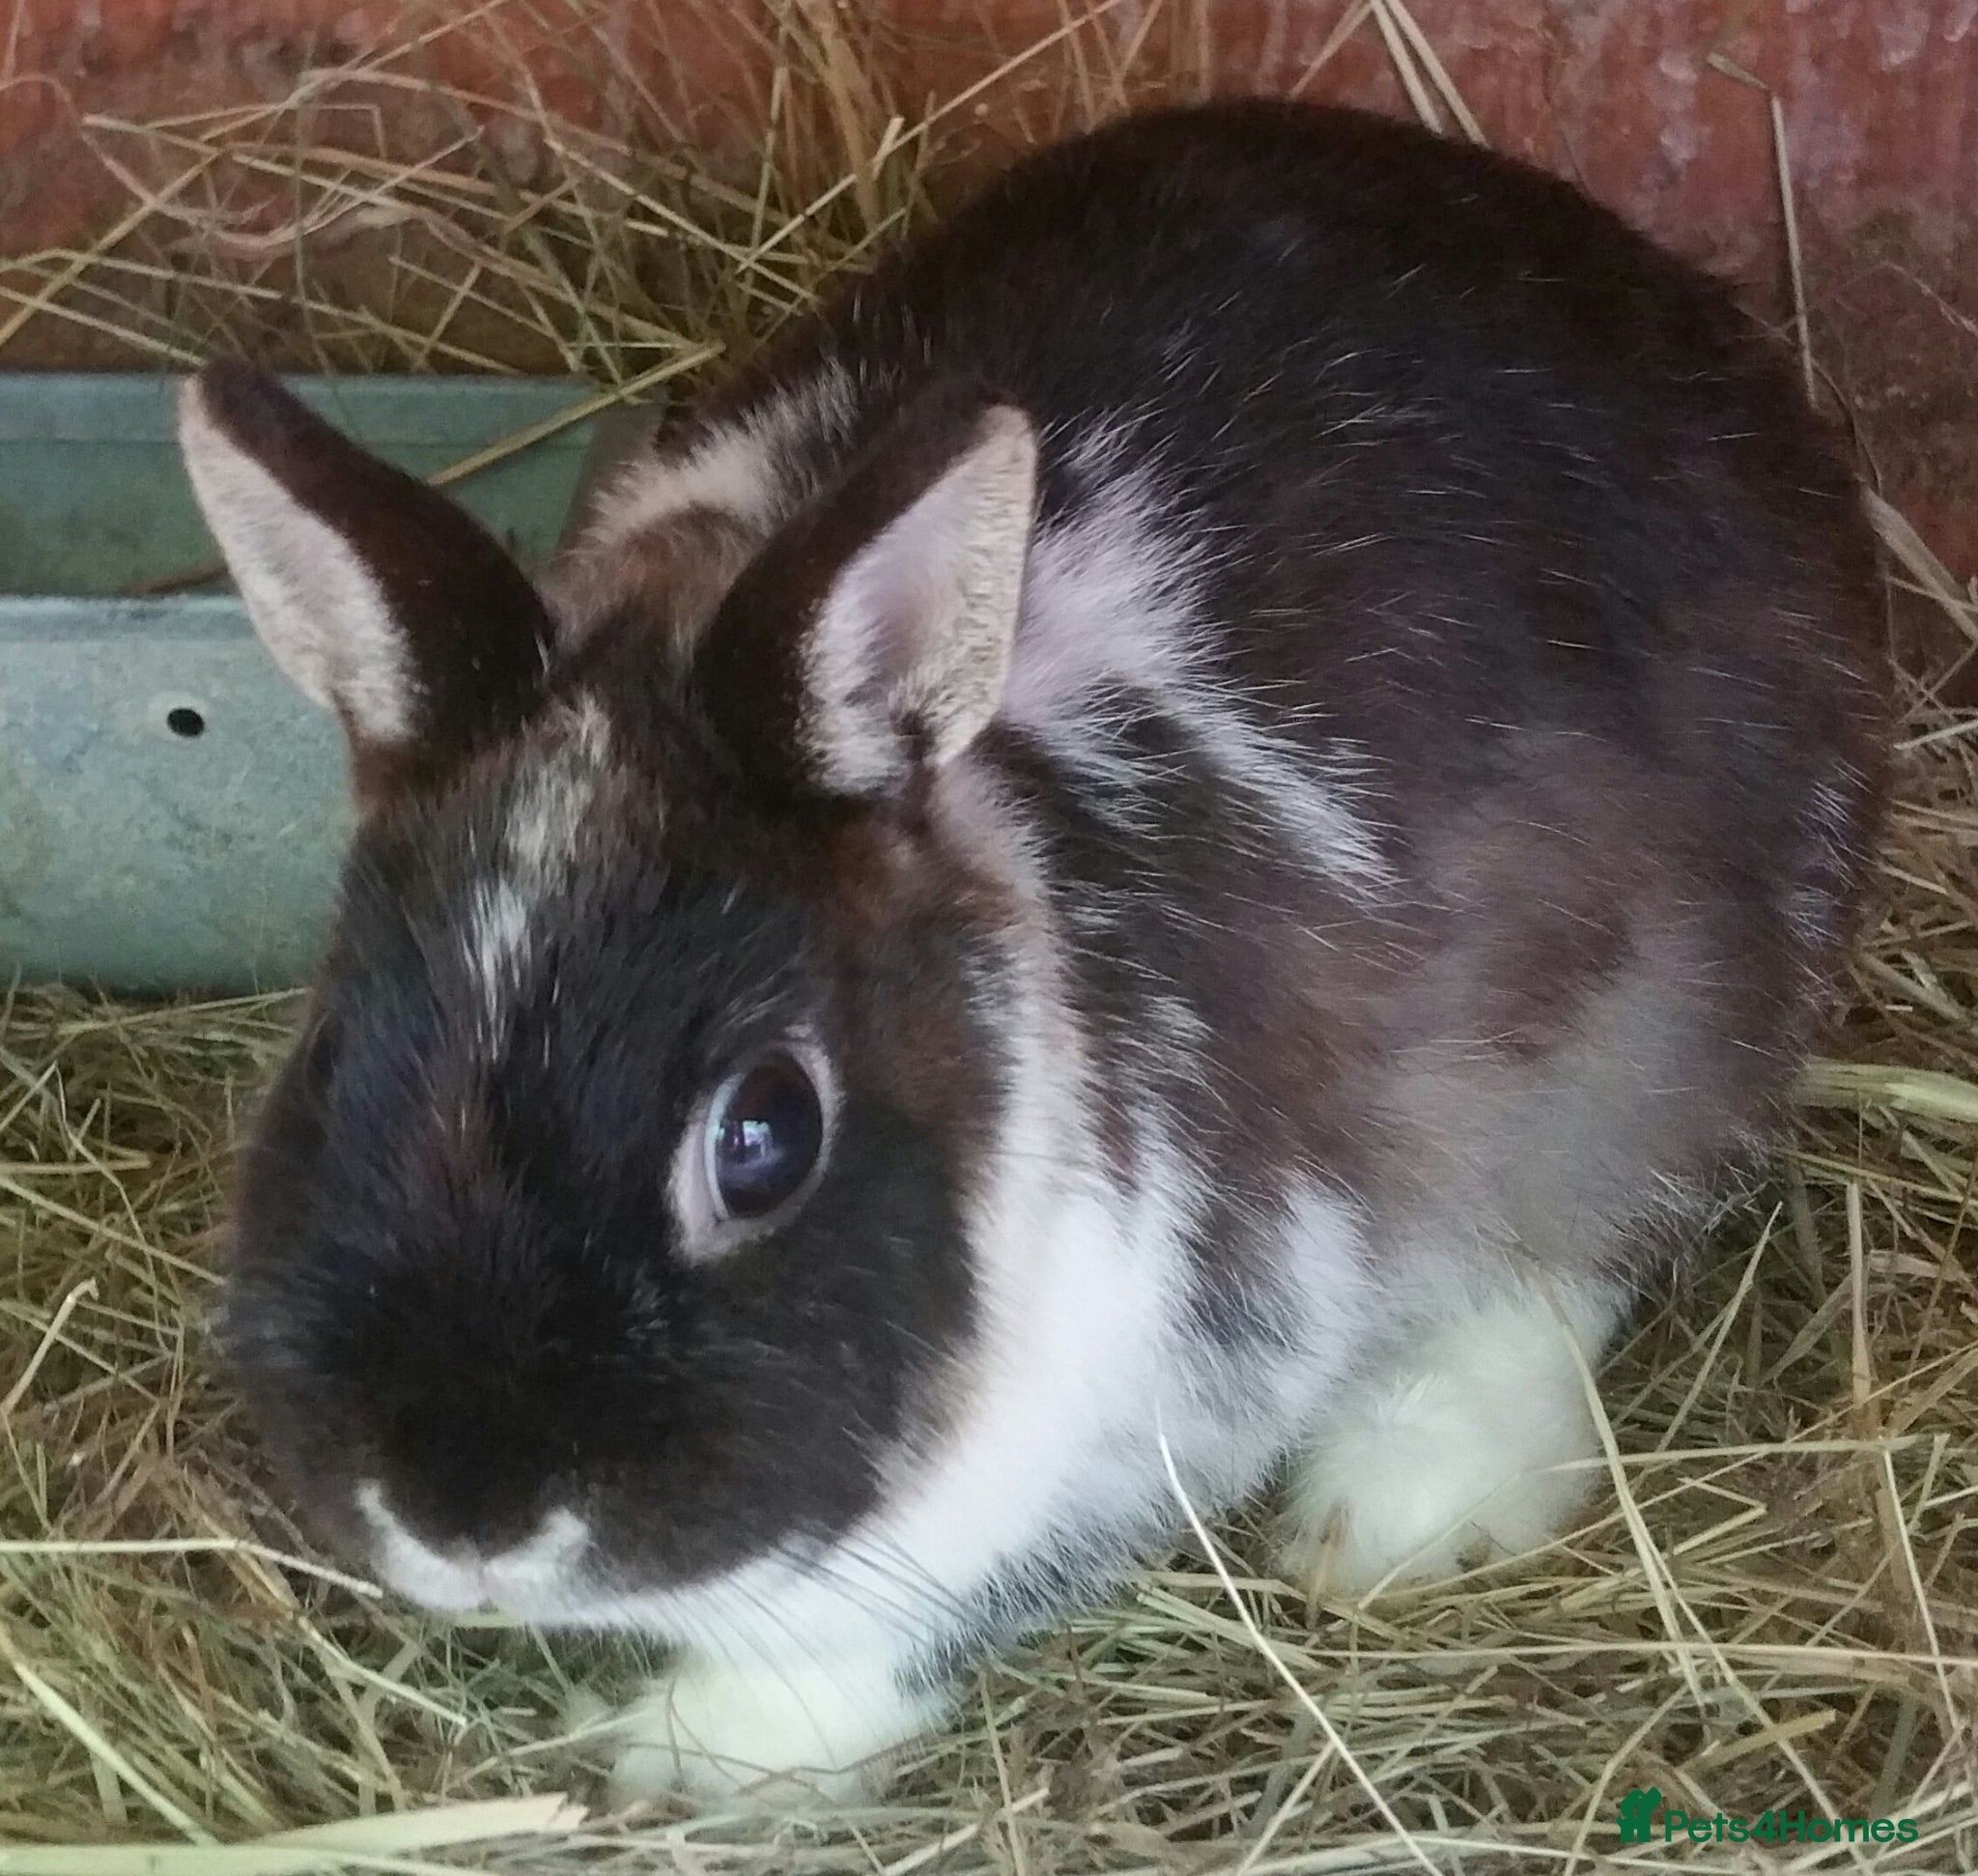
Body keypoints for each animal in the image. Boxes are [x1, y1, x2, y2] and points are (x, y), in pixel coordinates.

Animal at [178, 98, 1889, 1808]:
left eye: (764, 1134)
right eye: (332, 1048)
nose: (466, 1514)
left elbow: (874, 1640)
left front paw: (687, 1760)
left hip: (1662, 1030)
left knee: (1576, 1251)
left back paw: (1402, 1506)